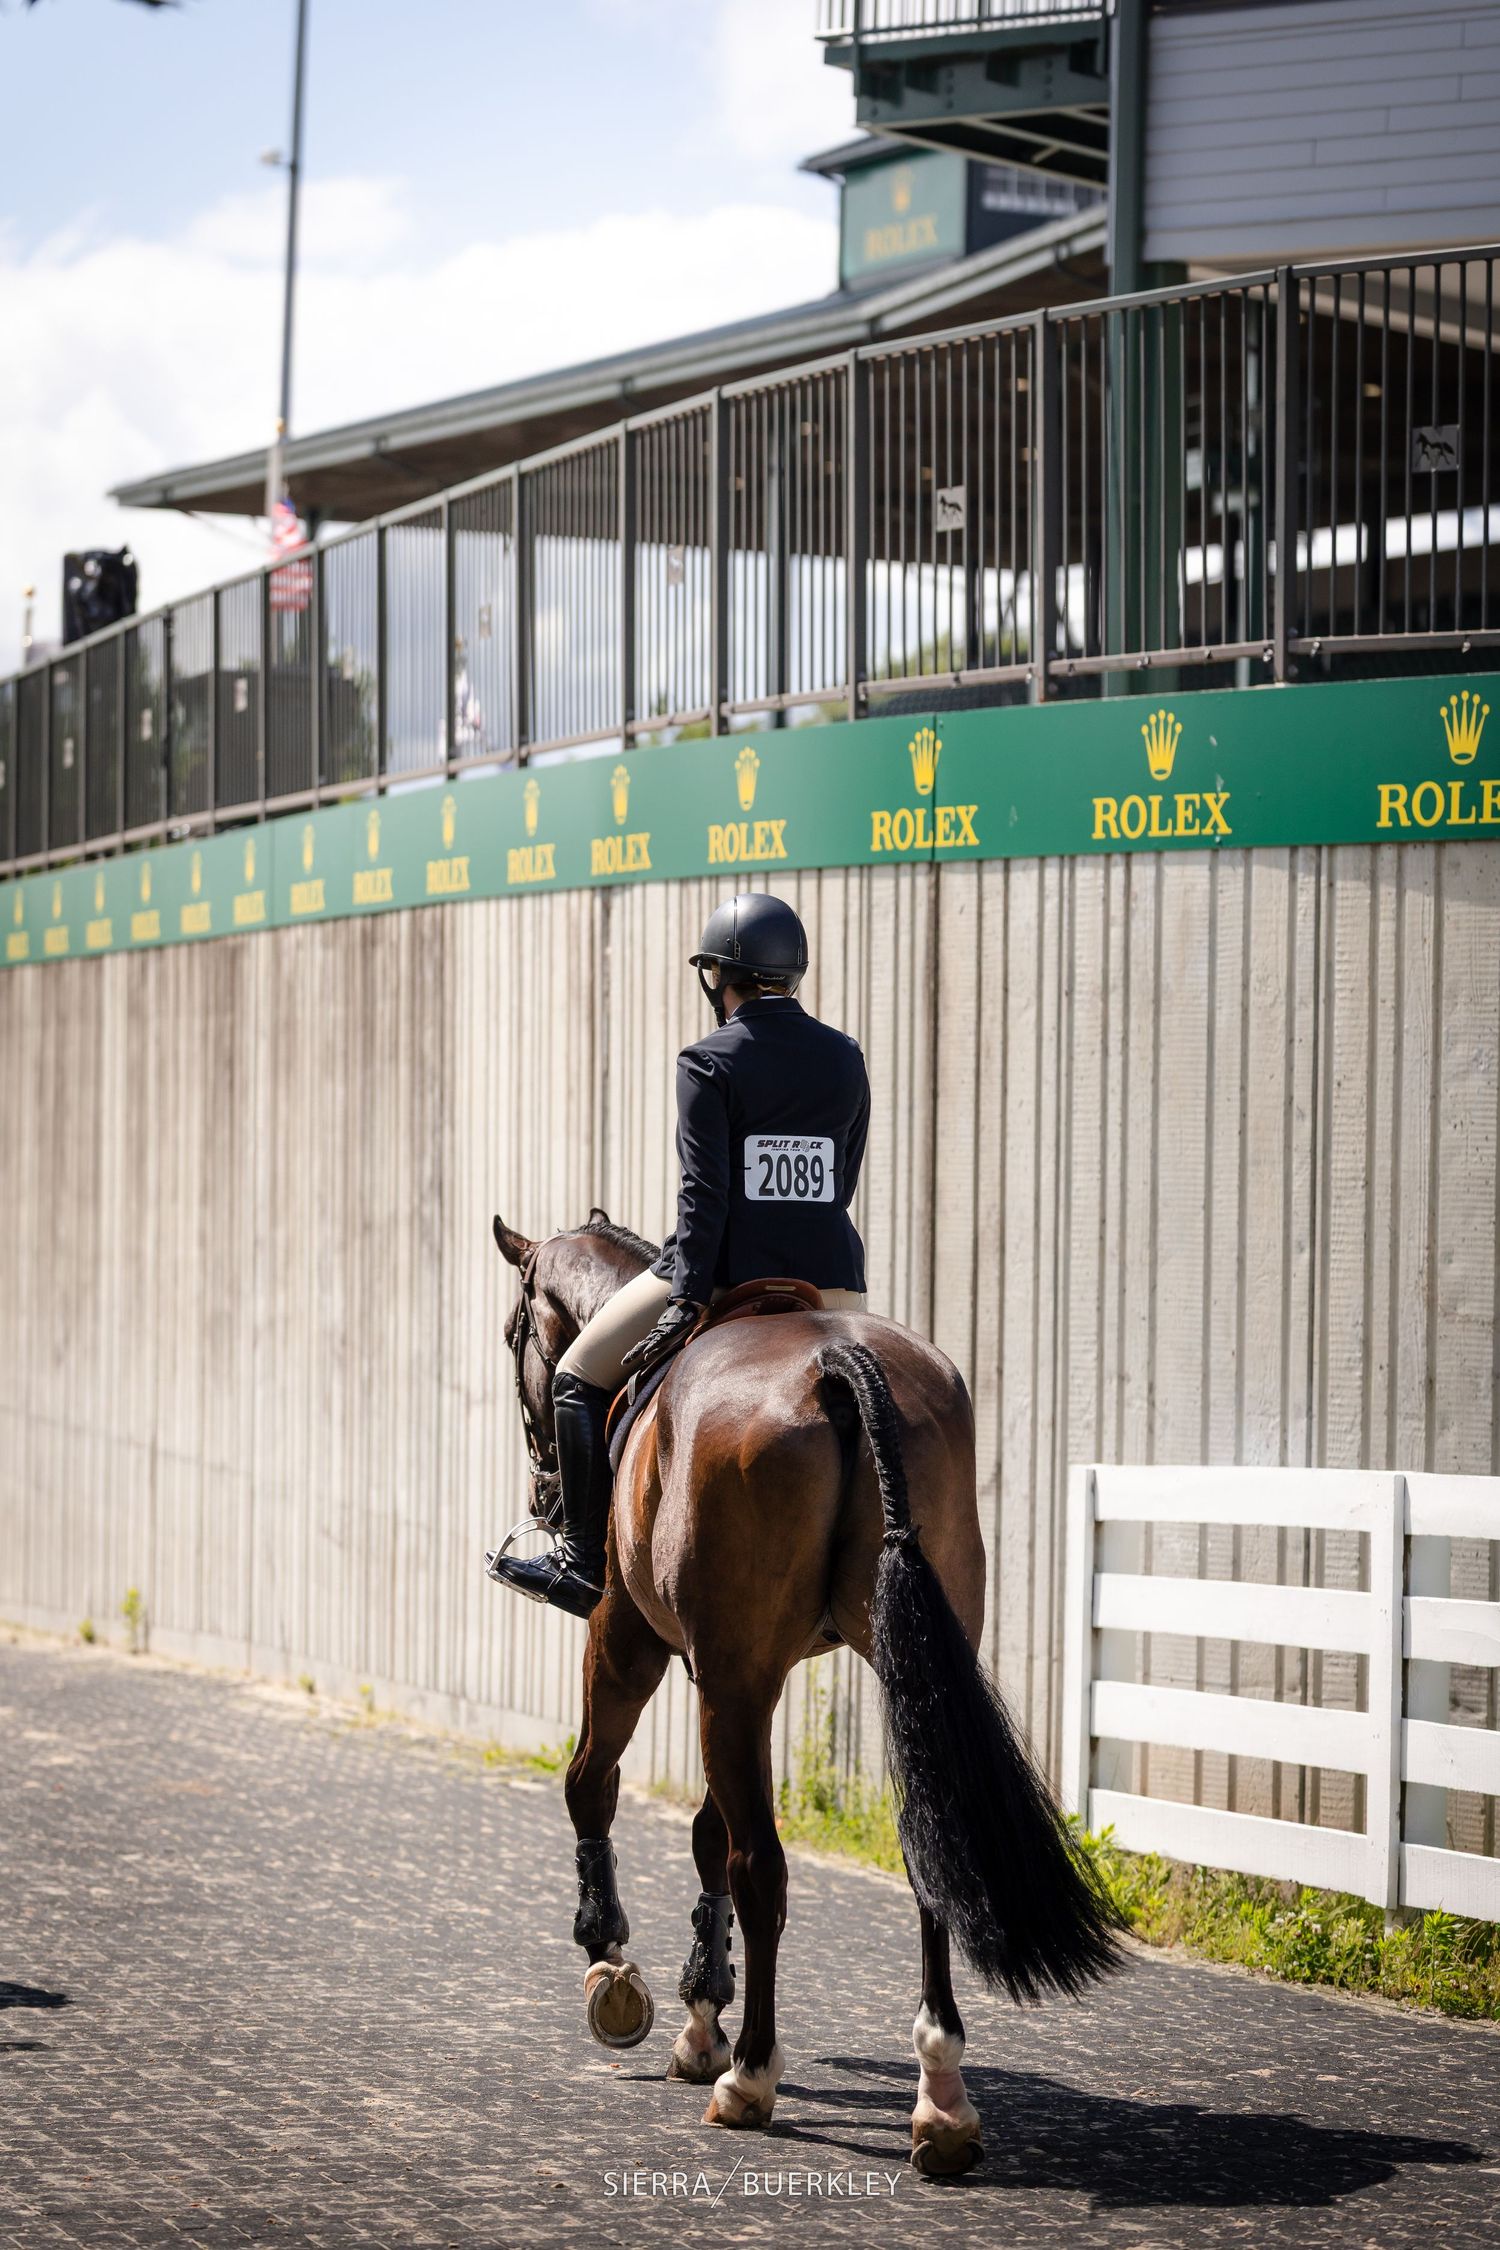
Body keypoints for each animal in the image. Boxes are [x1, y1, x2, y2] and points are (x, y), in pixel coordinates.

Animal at [491, 1208, 1121, 2176]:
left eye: (515, 1334)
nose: (545, 1492)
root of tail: (836, 1360)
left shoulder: (635, 1641)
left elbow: (595, 1786)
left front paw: (614, 1971)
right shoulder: (745, 1673)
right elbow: (707, 1831)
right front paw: (698, 2014)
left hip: (718, 1669)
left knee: (763, 1866)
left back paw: (751, 2077)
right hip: (889, 1671)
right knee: (926, 1849)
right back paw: (940, 2098)